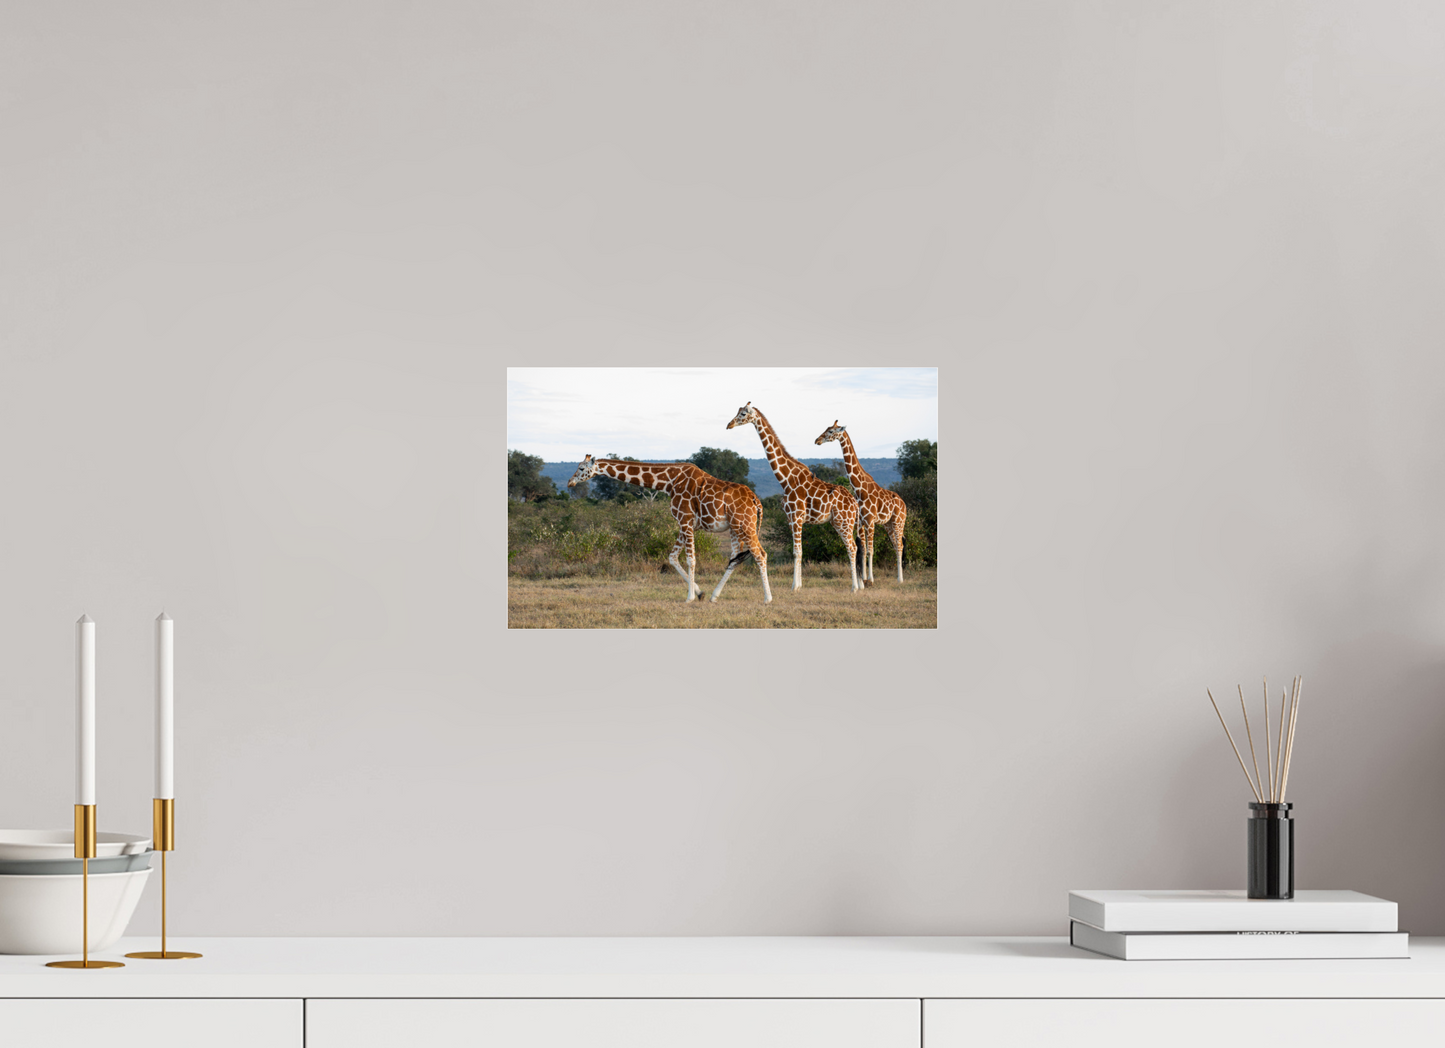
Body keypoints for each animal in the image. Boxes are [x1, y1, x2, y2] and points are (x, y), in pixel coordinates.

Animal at [568, 455, 772, 604]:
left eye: (581, 468)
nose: (570, 482)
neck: (668, 481)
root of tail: (756, 500)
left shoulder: (685, 520)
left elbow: (691, 559)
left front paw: (689, 597)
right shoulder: (684, 524)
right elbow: (672, 557)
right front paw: (700, 593)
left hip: (745, 525)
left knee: (760, 554)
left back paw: (767, 598)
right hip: (734, 527)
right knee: (735, 558)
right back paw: (714, 596)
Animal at [726, 402, 860, 592]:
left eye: (743, 413)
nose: (729, 424)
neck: (785, 478)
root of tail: (854, 503)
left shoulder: (796, 516)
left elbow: (797, 551)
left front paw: (794, 587)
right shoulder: (791, 518)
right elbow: (799, 551)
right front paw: (799, 585)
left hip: (844, 521)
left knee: (852, 547)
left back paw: (855, 587)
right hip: (838, 522)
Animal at [815, 421, 908, 584]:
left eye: (831, 431)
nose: (817, 440)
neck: (859, 488)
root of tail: (904, 504)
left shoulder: (870, 520)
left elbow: (870, 550)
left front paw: (870, 579)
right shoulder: (860, 521)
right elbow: (863, 549)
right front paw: (863, 578)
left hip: (898, 521)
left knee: (900, 545)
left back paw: (900, 579)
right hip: (888, 524)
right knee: (896, 545)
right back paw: (898, 577)